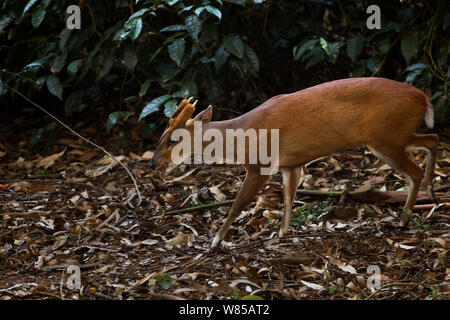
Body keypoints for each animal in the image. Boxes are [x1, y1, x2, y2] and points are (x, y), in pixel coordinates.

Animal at [151, 77, 440, 248]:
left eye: (172, 140)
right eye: (161, 136)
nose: (153, 163)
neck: (241, 138)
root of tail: (424, 98)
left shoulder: (261, 166)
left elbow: (236, 205)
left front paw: (215, 241)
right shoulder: (291, 164)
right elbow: (289, 199)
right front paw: (282, 233)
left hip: (385, 137)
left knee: (415, 169)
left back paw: (405, 219)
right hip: (394, 135)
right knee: (432, 139)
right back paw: (431, 193)